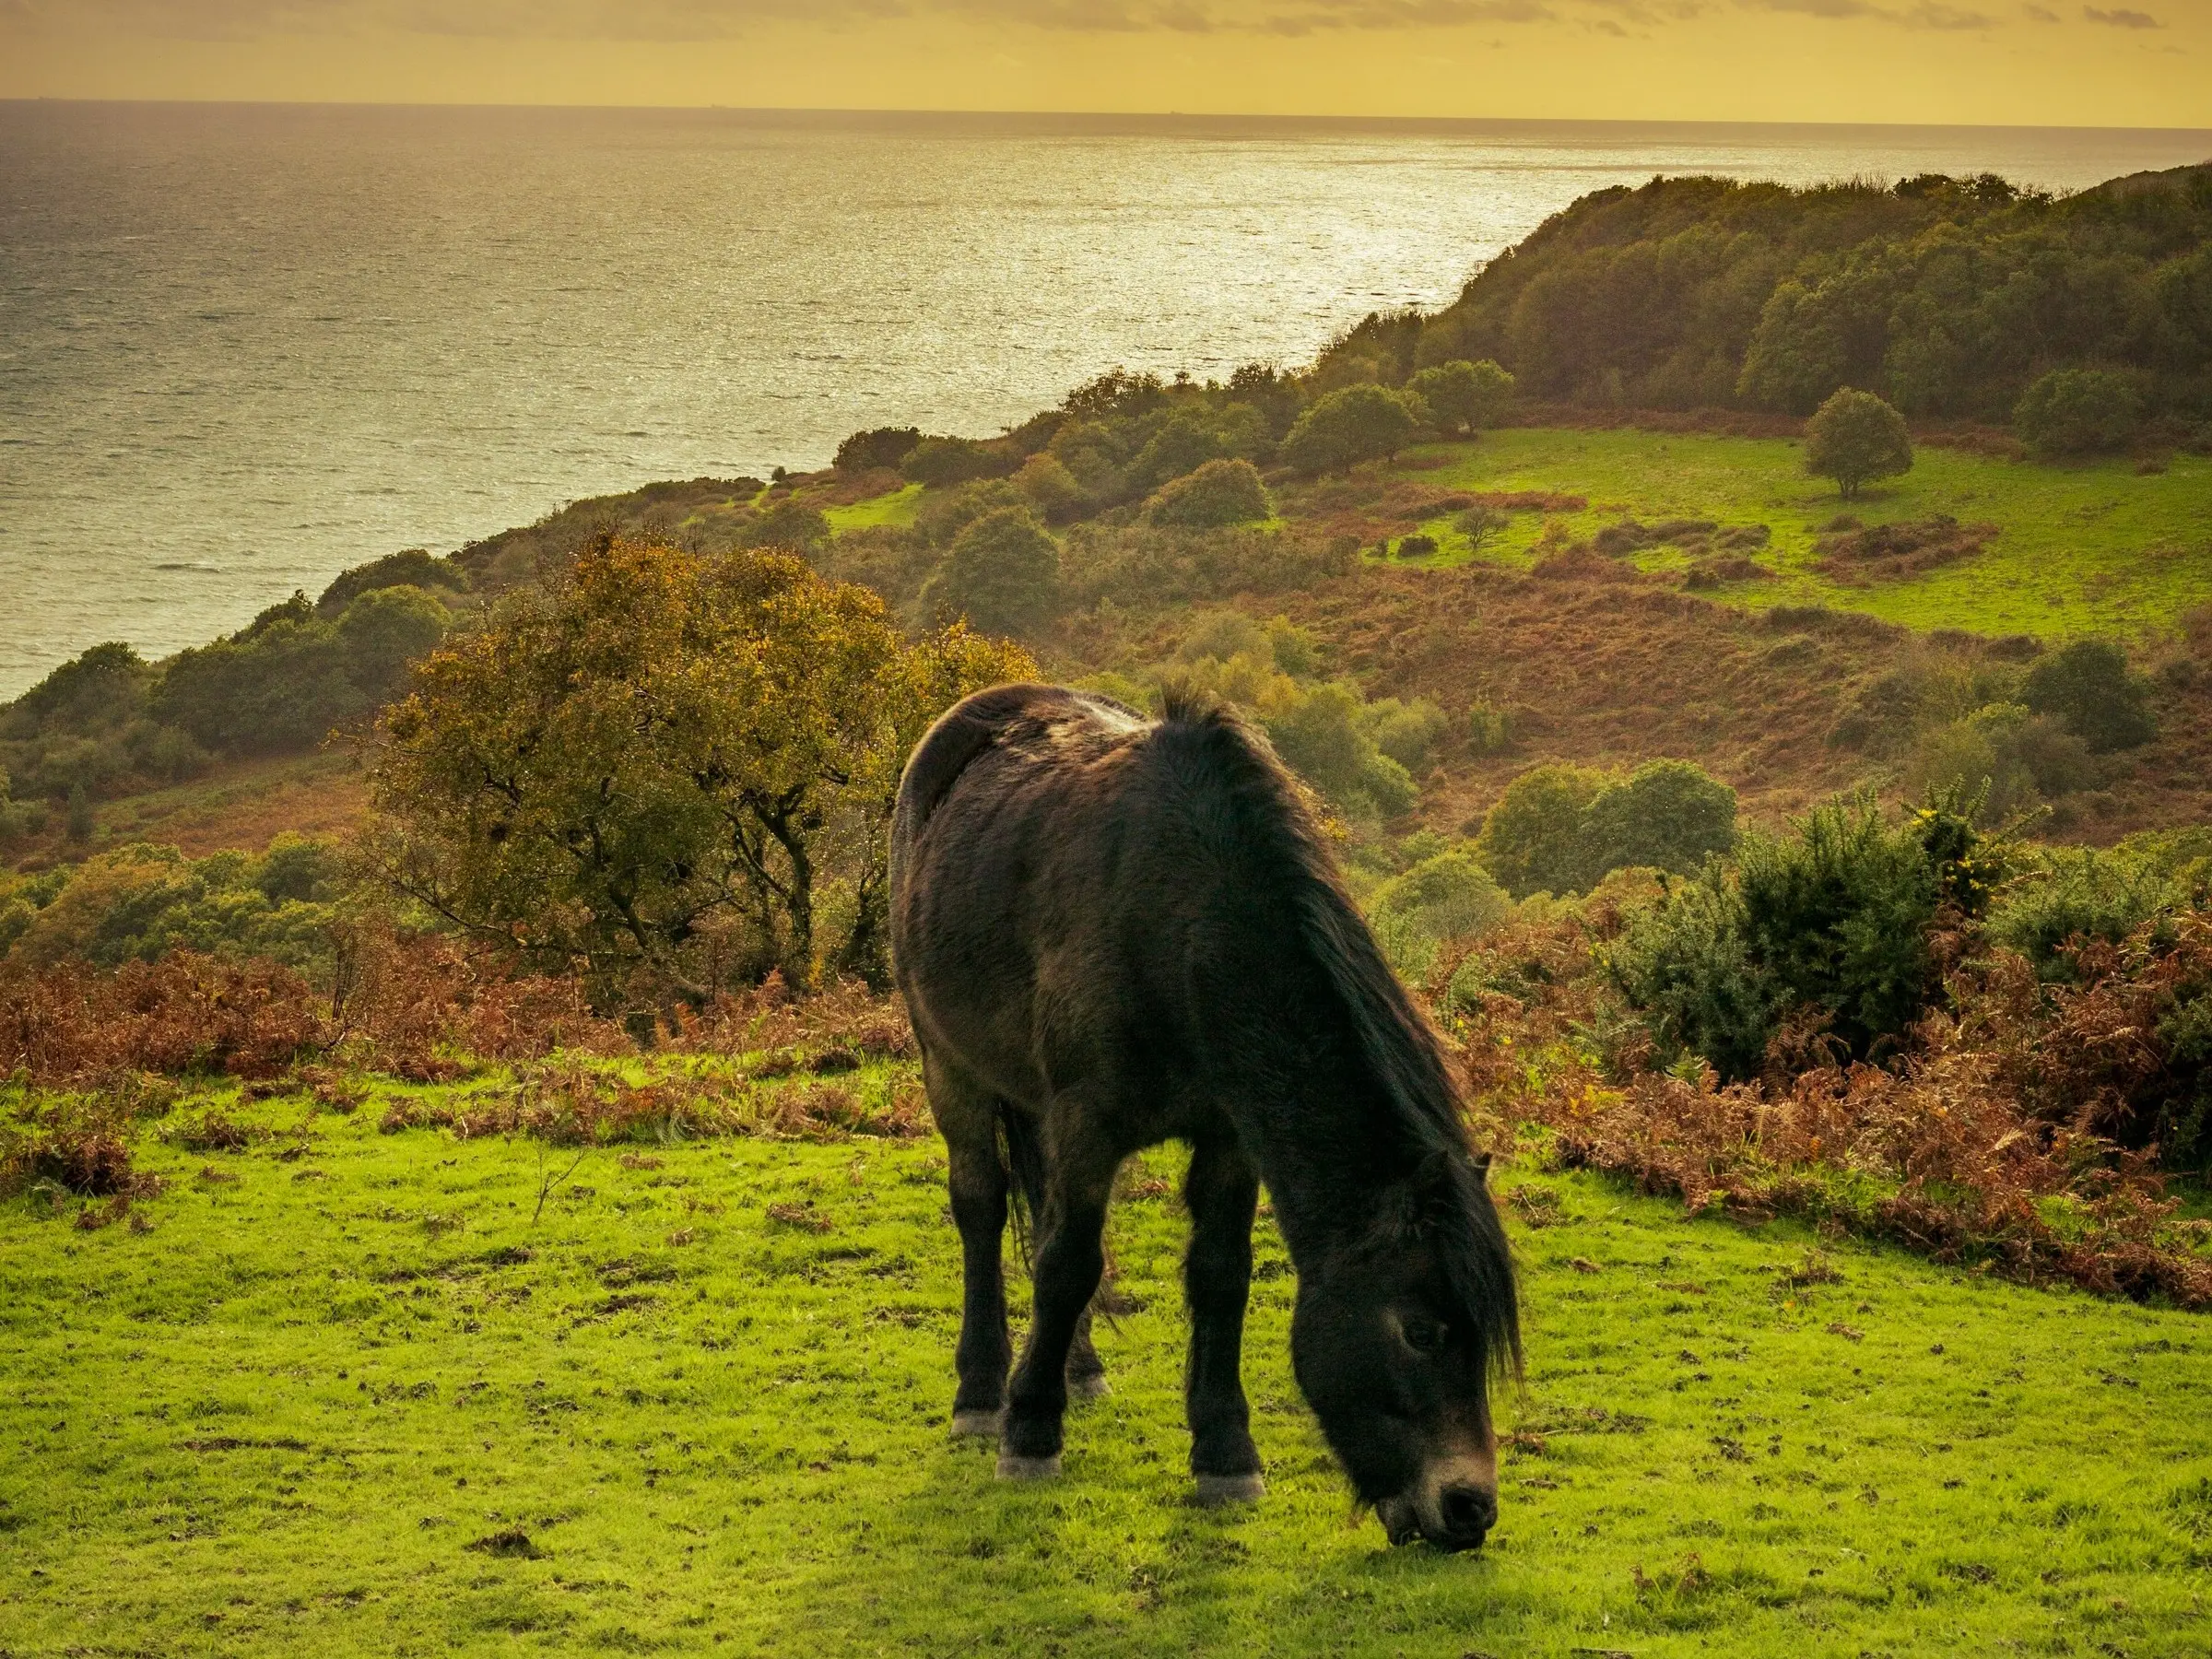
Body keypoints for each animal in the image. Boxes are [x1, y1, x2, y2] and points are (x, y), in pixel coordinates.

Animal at [885, 681, 1522, 1557]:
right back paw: (985, 1393)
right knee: (982, 1209)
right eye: (1420, 1331)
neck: (1181, 926)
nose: (1468, 1511)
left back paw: (1078, 1368)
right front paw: (1030, 1433)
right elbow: (1067, 1264)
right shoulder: (1086, 1121)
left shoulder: (1227, 1137)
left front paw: (1225, 1455)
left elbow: (1217, 1276)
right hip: (950, 1062)